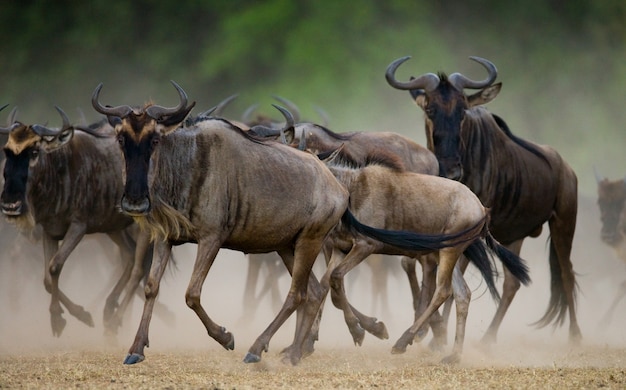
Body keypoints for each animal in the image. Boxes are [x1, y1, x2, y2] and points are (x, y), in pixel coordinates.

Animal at [314, 148, 528, 364]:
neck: (352, 189)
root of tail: (481, 208)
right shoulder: (341, 249)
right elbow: (329, 287)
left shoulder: (366, 245)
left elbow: (335, 277)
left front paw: (358, 331)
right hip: (444, 252)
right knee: (462, 293)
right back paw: (454, 355)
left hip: (449, 252)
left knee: (443, 290)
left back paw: (405, 341)